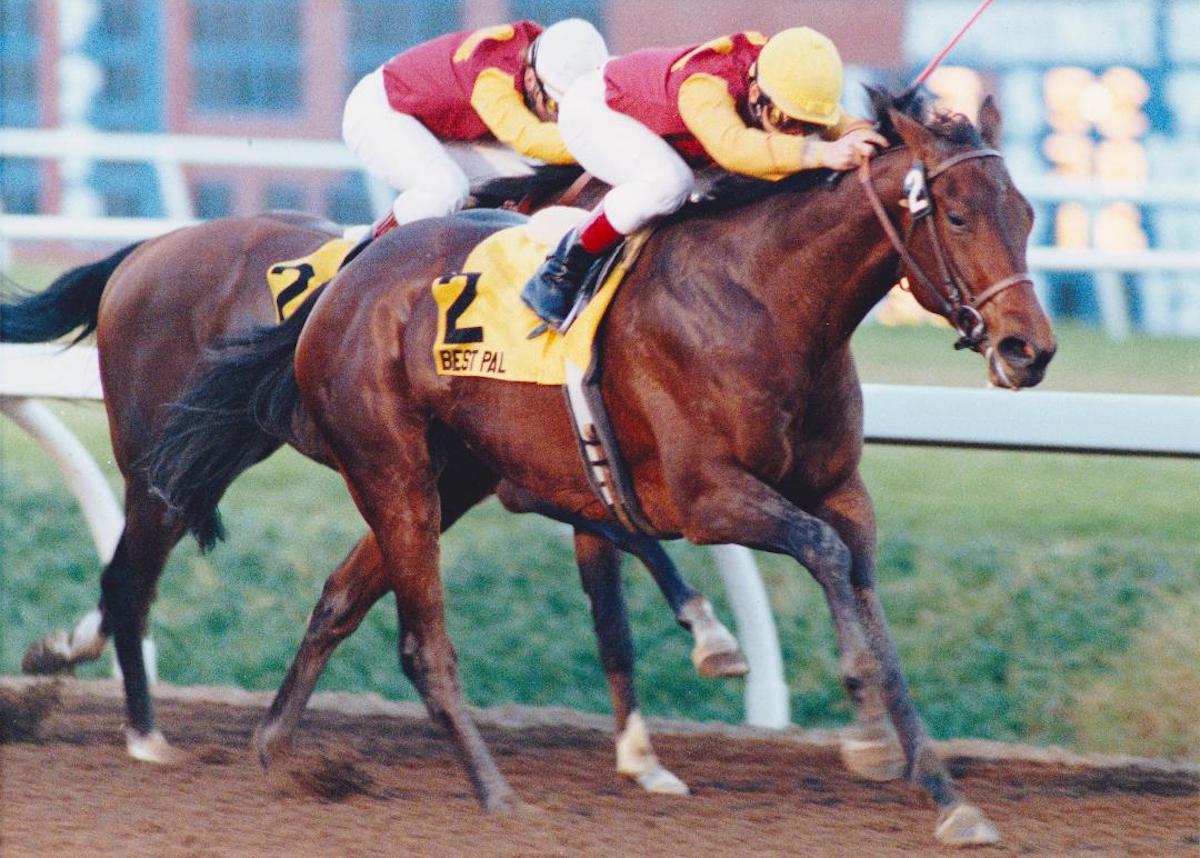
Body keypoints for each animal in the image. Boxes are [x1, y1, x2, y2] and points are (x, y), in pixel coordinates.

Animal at [2, 186, 739, 792]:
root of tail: (146, 250)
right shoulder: (519, 483)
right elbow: (644, 541)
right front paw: (709, 633)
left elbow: (612, 613)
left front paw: (644, 757)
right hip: (160, 466)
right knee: (131, 578)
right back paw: (144, 734)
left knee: (122, 575)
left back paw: (76, 655)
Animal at [154, 88, 1056, 844]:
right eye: (958, 214)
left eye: (1027, 212)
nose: (1030, 350)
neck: (769, 303)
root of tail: (341, 284)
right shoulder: (706, 499)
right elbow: (821, 559)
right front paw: (861, 733)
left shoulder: (841, 492)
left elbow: (870, 608)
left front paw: (948, 796)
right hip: (394, 471)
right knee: (422, 643)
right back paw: (497, 795)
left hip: (448, 479)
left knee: (341, 598)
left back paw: (279, 747)